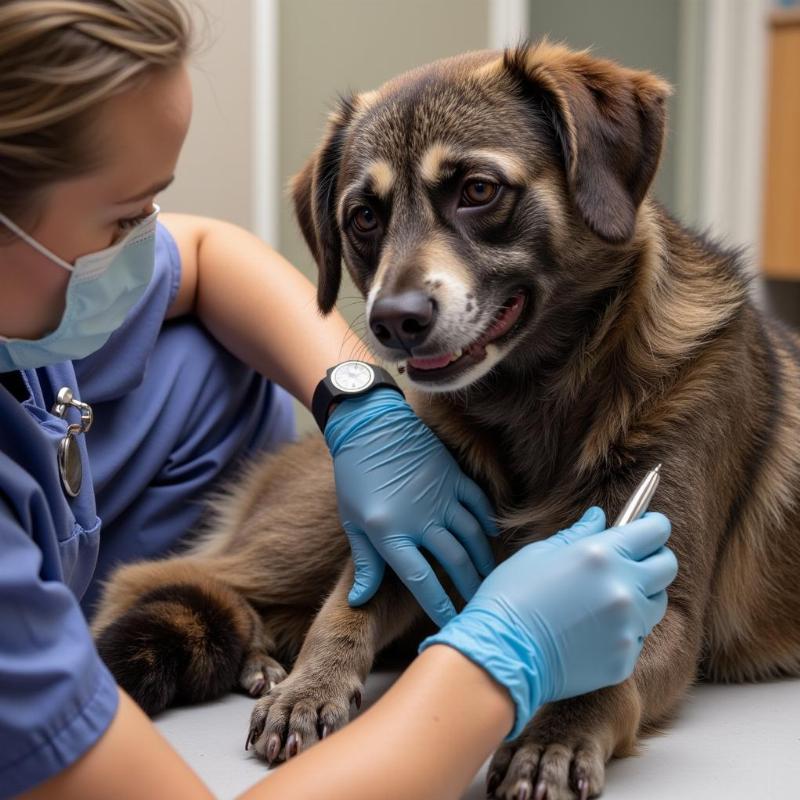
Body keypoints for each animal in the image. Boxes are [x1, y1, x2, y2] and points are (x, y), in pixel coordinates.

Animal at [90, 45, 800, 800]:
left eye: (478, 190)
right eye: (362, 217)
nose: (393, 322)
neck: (536, 395)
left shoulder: (661, 597)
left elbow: (605, 675)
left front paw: (554, 732)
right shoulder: (402, 542)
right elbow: (346, 607)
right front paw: (313, 684)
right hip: (323, 520)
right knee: (163, 575)